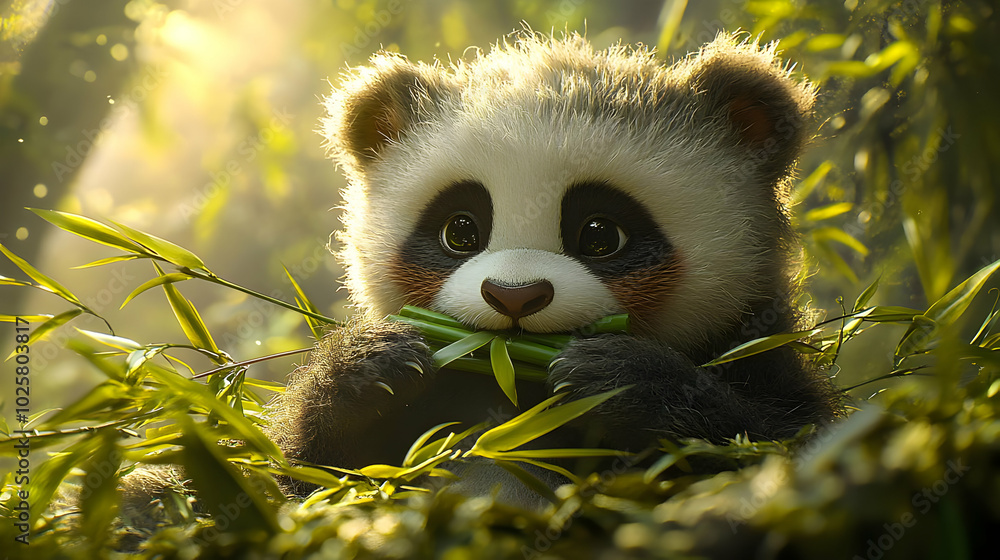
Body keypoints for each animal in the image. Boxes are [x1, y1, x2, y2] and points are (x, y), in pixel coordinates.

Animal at [265, 31, 842, 497]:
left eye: (601, 235)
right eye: (460, 231)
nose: (514, 296)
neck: (518, 391)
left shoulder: (755, 346)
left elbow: (779, 441)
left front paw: (615, 376)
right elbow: (305, 477)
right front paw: (372, 364)